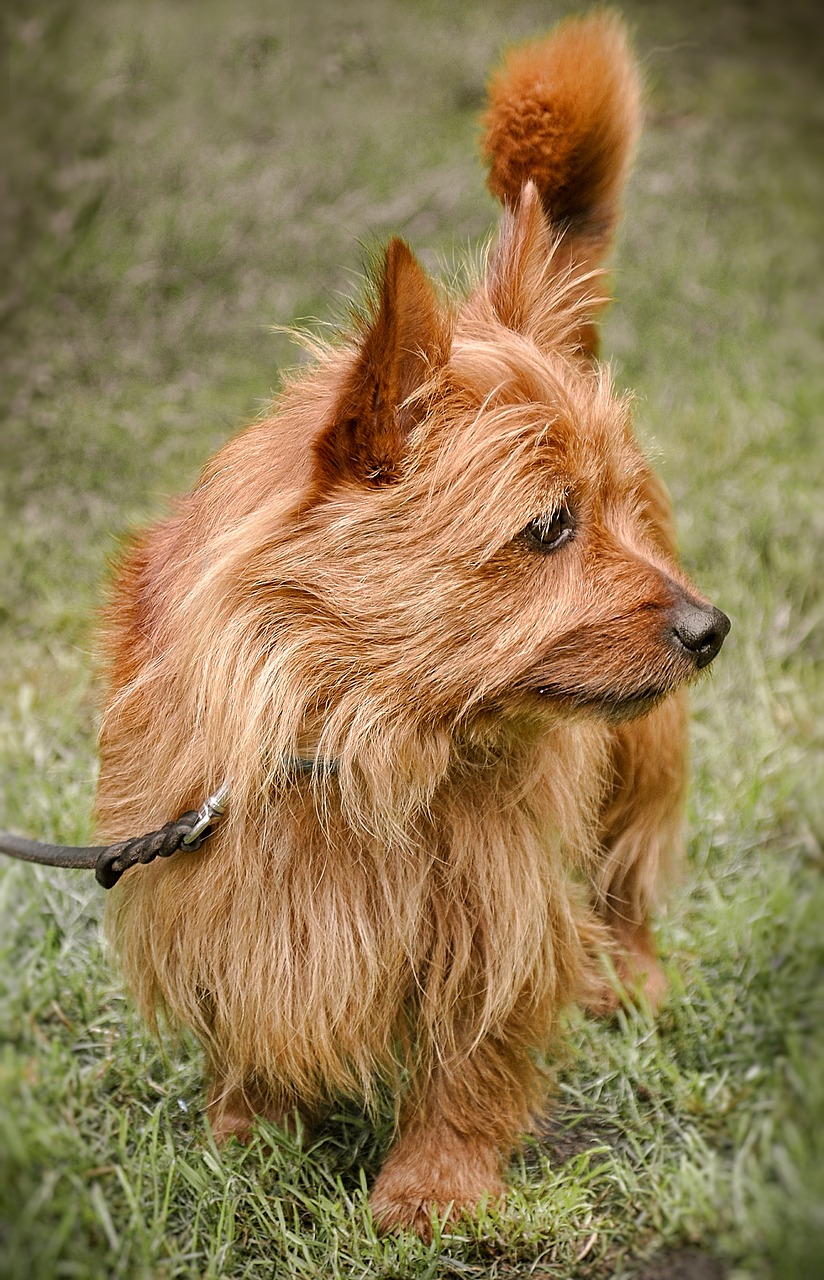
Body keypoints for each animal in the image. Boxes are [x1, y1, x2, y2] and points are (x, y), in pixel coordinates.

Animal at [94, 12, 726, 1239]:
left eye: (617, 509)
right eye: (549, 525)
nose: (708, 626)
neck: (355, 726)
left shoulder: (495, 895)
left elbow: (472, 1046)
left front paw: (437, 1184)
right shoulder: (219, 882)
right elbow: (253, 1009)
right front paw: (250, 1135)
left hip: (640, 750)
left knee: (625, 867)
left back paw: (624, 974)